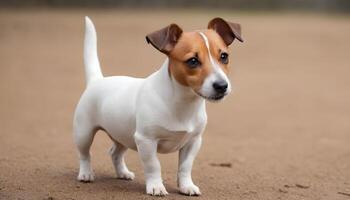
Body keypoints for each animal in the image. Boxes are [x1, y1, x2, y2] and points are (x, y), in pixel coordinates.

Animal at [73, 16, 243, 196]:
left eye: (224, 56)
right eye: (193, 61)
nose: (222, 86)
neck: (183, 104)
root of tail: (97, 80)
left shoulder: (193, 142)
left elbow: (185, 167)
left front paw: (186, 186)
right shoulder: (146, 140)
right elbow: (153, 165)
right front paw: (156, 186)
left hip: (123, 135)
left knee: (114, 154)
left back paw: (123, 173)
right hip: (84, 133)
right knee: (85, 154)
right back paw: (86, 174)